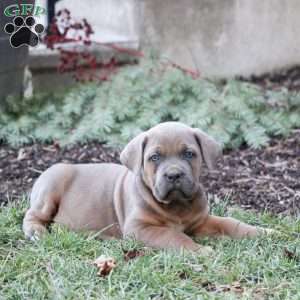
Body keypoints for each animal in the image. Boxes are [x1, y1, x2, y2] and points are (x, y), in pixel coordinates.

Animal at [22, 120, 272, 252]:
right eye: (154, 157)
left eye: (189, 154)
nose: (173, 174)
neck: (177, 206)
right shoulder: (140, 229)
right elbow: (175, 237)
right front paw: (200, 250)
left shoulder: (201, 221)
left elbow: (231, 223)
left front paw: (263, 232)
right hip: (52, 186)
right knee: (33, 215)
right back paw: (37, 232)